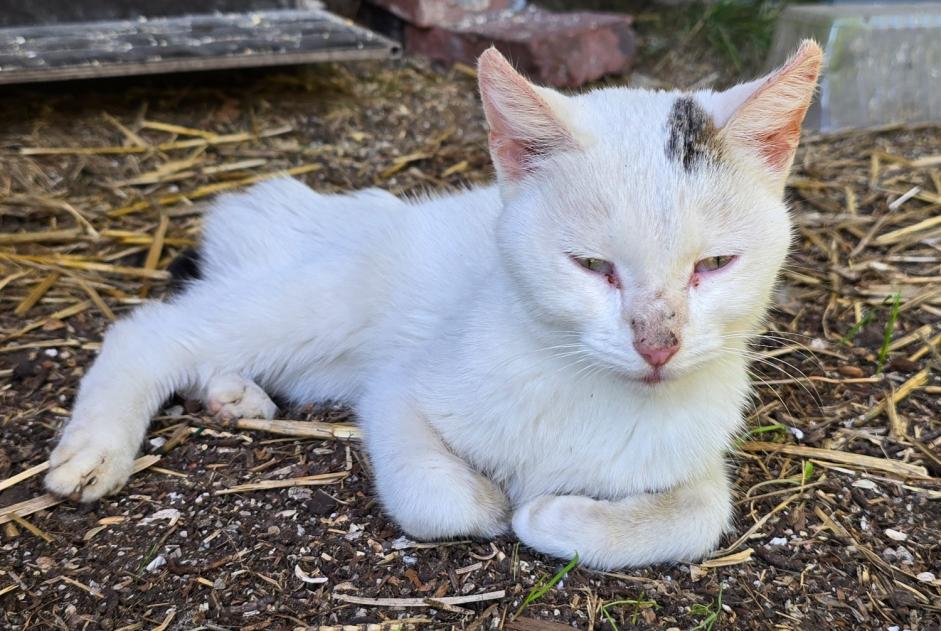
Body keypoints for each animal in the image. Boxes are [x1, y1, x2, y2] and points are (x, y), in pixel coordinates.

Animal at [46, 42, 824, 572]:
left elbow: (701, 513)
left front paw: (557, 515)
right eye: (592, 266)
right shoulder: (397, 390)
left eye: (713, 265)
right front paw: (498, 504)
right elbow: (439, 498)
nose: (657, 343)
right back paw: (93, 451)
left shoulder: (695, 453)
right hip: (323, 302)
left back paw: (234, 395)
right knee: (152, 331)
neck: (589, 391)